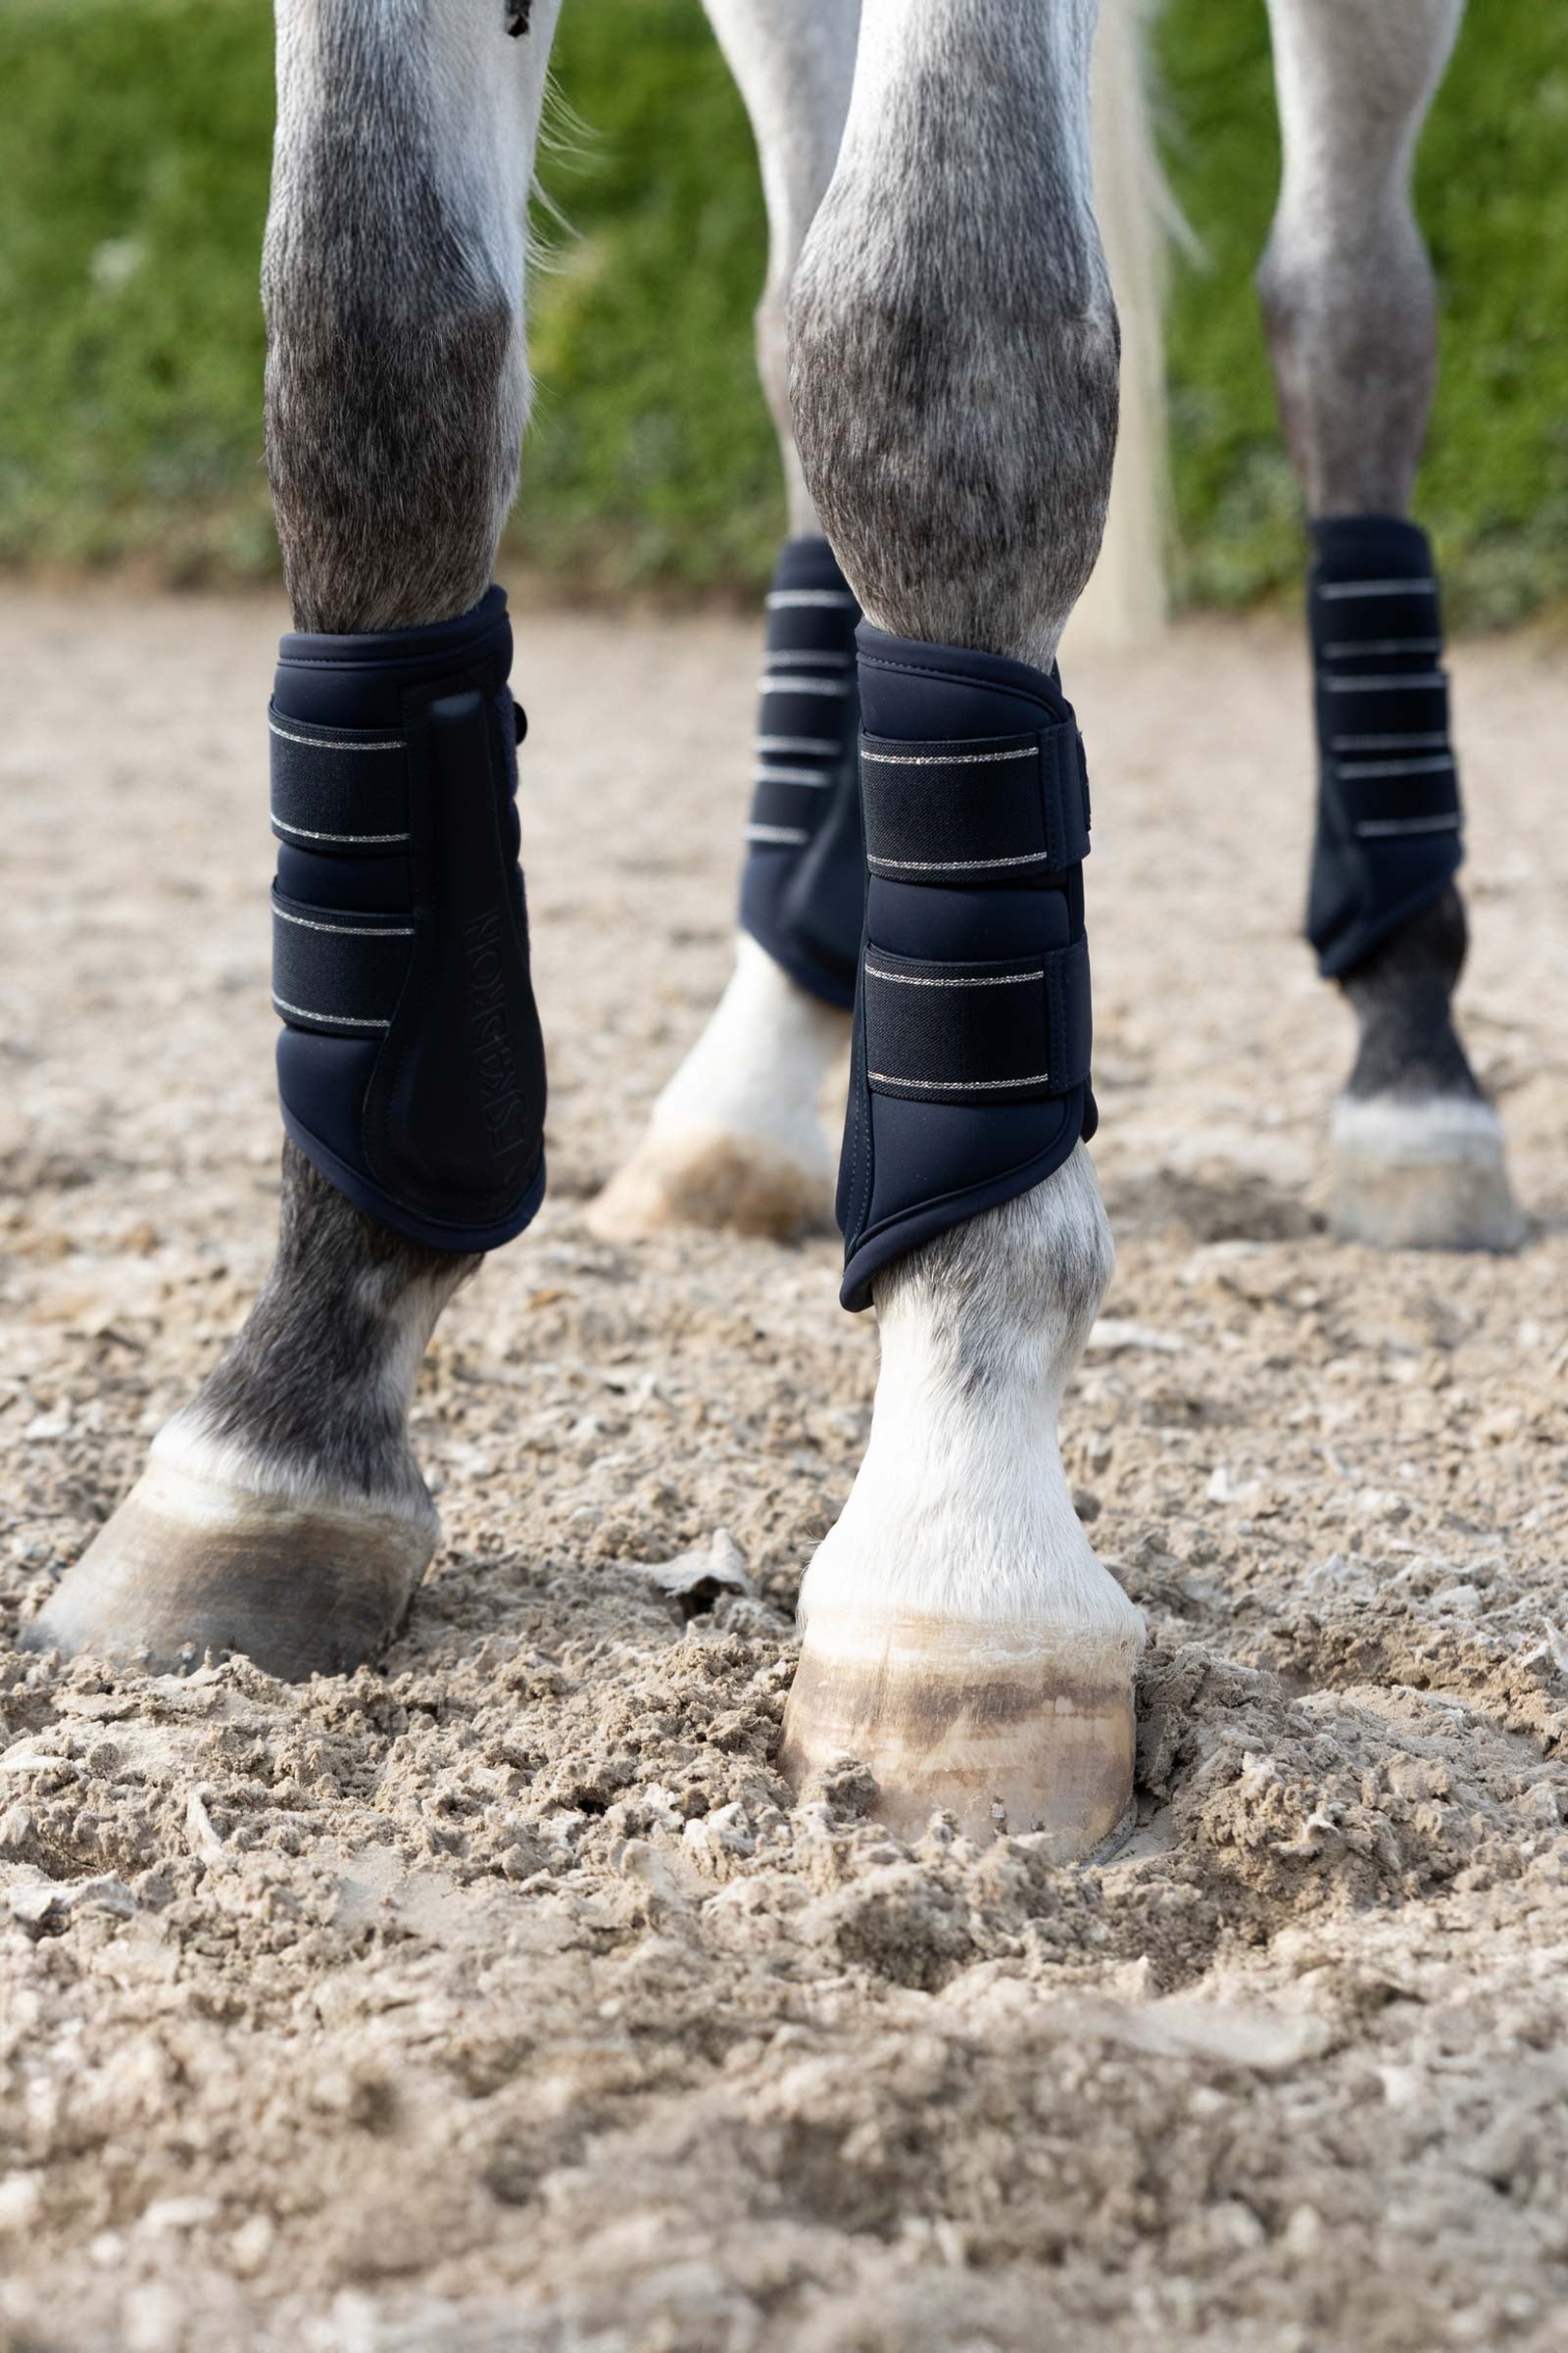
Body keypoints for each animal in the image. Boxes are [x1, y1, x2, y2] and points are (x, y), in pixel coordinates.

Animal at [25, 0, 1519, 1862]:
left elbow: (935, 340)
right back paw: (750, 1086)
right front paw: (289, 1416)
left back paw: (1413, 1070)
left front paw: (961, 1546)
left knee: (1348, 304)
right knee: (792, 284)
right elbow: (373, 347)